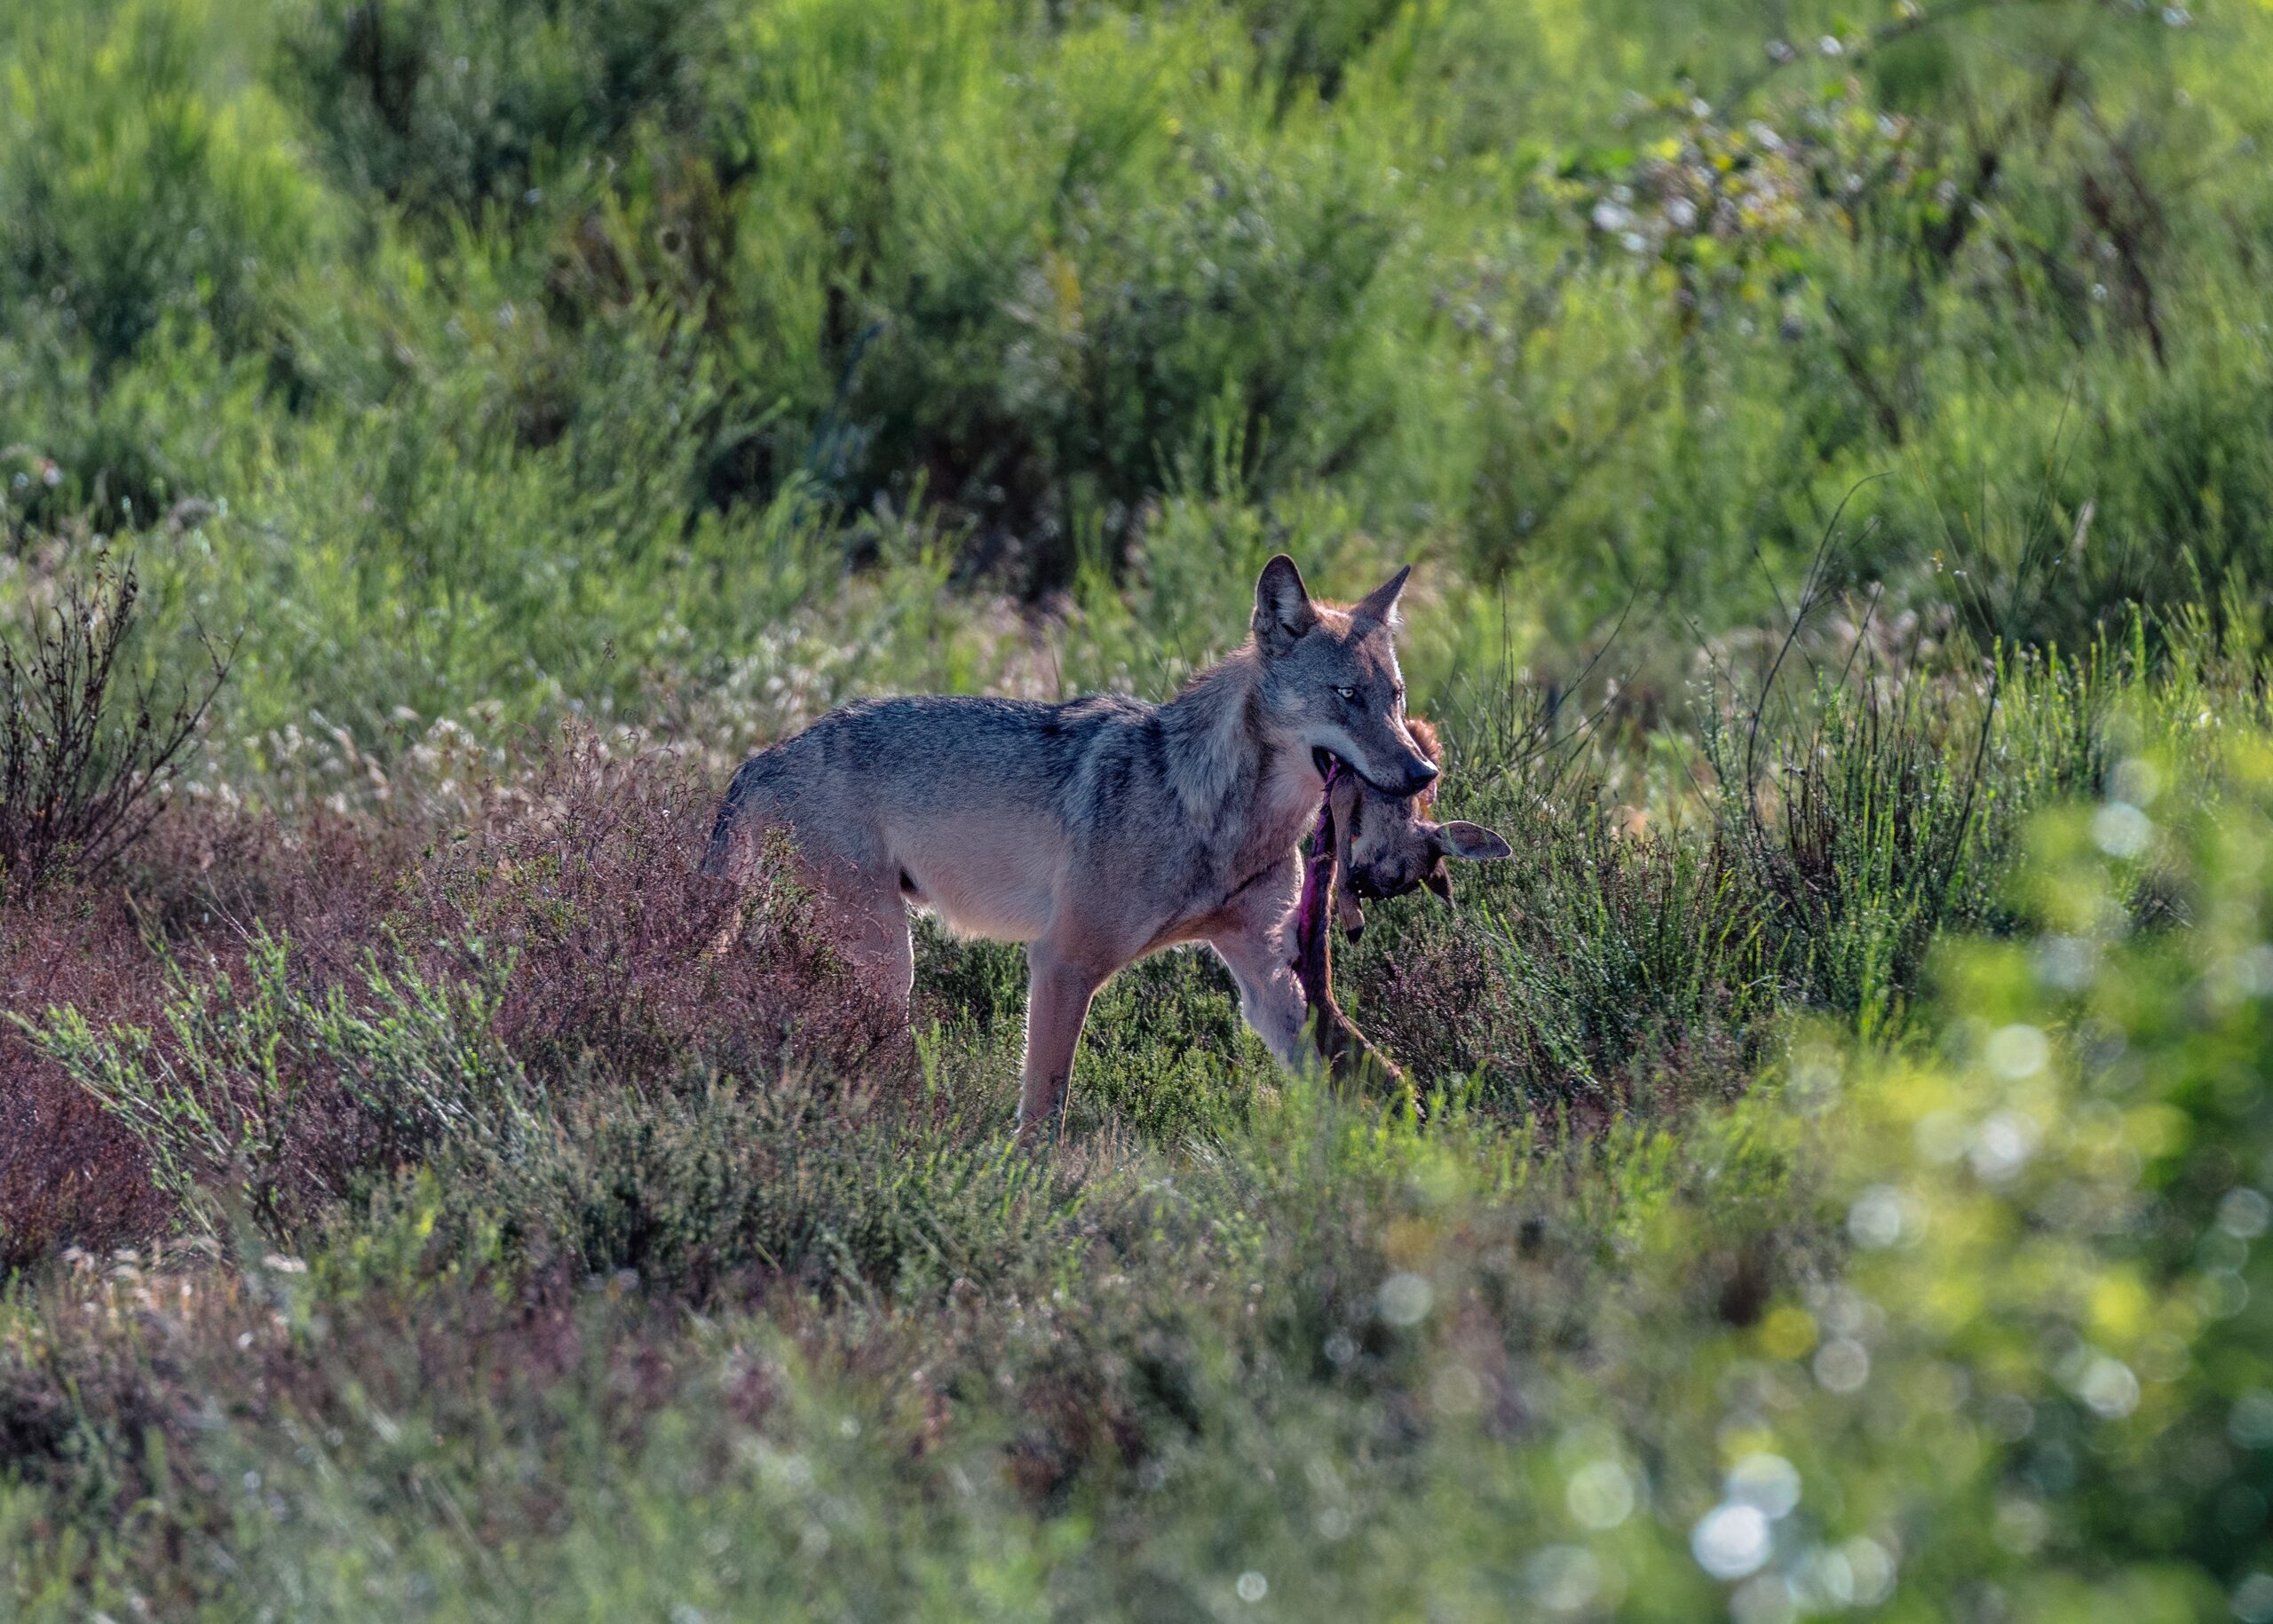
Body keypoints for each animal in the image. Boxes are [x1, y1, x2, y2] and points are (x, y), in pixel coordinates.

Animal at [704, 555, 1438, 1136]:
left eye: (1396, 698)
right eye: (1346, 695)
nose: (1423, 772)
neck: (1216, 814)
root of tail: (760, 759)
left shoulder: (1266, 973)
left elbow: (1357, 1064)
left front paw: (1405, 1136)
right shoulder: (1063, 961)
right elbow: (1045, 1107)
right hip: (887, 965)